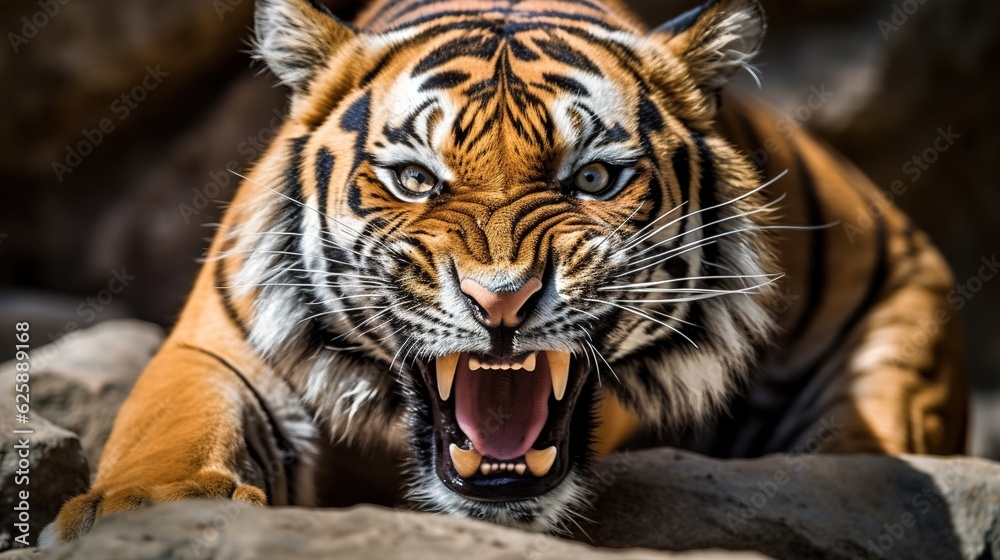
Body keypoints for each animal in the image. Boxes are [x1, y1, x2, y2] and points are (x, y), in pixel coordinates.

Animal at [43, 0, 968, 544]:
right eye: (416, 179)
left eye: (593, 178)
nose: (503, 301)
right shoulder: (220, 344)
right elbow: (174, 423)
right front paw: (141, 515)